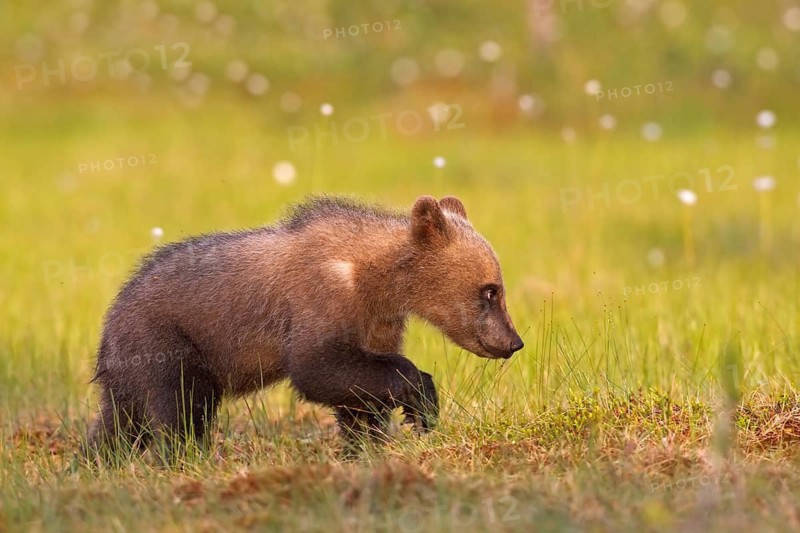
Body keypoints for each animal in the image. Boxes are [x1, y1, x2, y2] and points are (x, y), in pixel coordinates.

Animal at [87, 195, 524, 454]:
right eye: (491, 290)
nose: (514, 342)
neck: (377, 282)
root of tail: (108, 325)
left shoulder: (376, 323)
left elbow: (358, 391)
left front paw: (365, 443)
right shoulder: (320, 299)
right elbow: (317, 367)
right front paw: (421, 404)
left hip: (128, 374)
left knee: (119, 422)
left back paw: (97, 457)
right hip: (164, 341)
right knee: (178, 407)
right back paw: (185, 454)